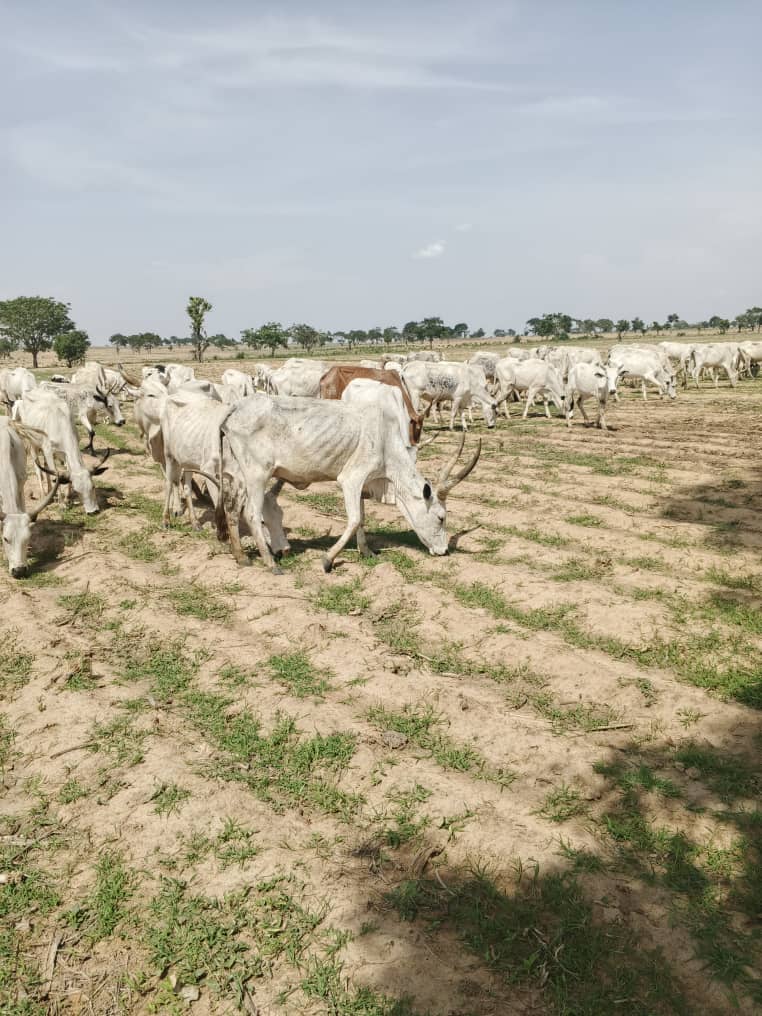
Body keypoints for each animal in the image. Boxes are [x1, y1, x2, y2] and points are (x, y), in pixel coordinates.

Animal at [218, 395, 480, 573]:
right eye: (441, 518)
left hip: (240, 475)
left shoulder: (363, 483)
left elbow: (362, 520)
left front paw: (367, 552)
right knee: (251, 514)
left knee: (231, 509)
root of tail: (235, 408)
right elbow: (354, 520)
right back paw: (270, 562)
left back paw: (241, 557)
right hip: (257, 475)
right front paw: (327, 560)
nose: (444, 551)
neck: (386, 440)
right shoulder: (351, 478)